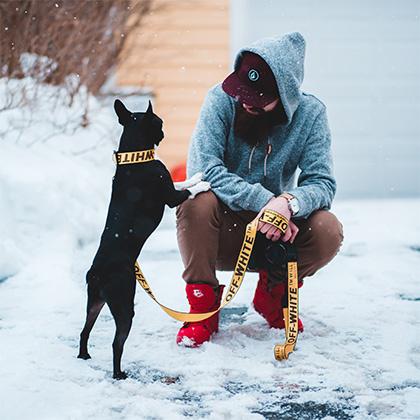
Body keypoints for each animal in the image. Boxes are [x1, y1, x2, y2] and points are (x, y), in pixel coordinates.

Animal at [77, 100, 208, 378]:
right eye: (159, 123)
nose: (164, 132)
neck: (134, 158)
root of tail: (96, 272)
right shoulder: (170, 196)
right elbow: (185, 191)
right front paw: (204, 185)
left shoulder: (171, 187)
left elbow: (182, 182)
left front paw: (197, 176)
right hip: (124, 303)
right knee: (117, 343)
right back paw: (118, 373)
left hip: (95, 301)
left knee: (85, 329)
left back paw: (84, 355)